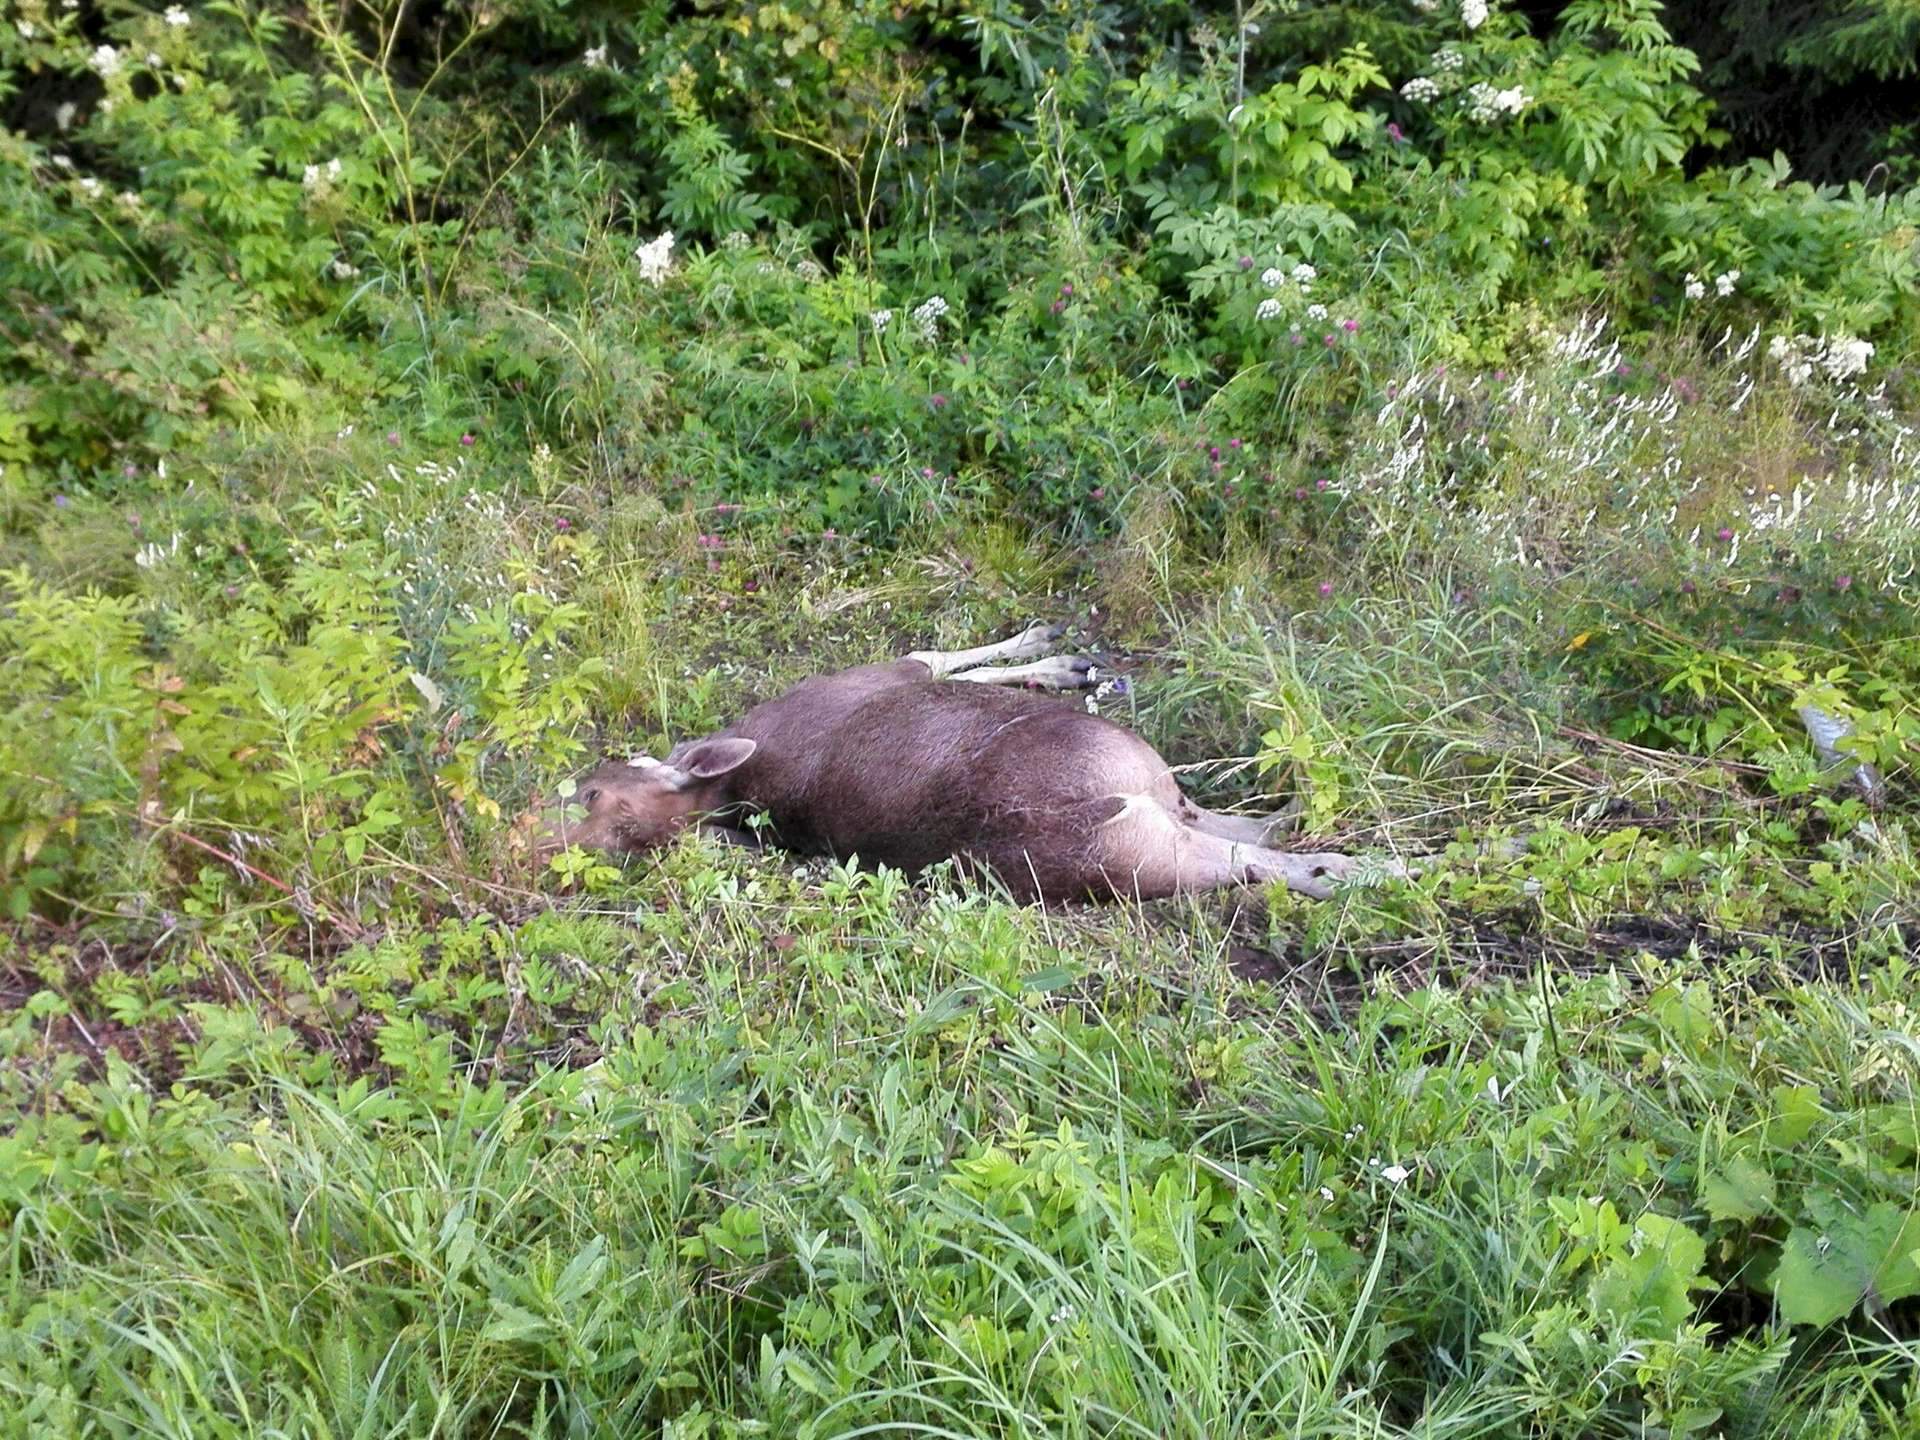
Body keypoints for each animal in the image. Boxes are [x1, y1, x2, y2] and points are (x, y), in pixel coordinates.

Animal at [533, 629, 1359, 902]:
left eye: (591, 790)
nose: (535, 838)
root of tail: (1115, 799)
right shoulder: (871, 676)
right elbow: (930, 653)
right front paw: (1058, 653)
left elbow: (936, 653)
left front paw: (1061, 656)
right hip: (1143, 839)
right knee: (1259, 857)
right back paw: (1358, 870)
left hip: (1158, 832)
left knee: (1248, 836)